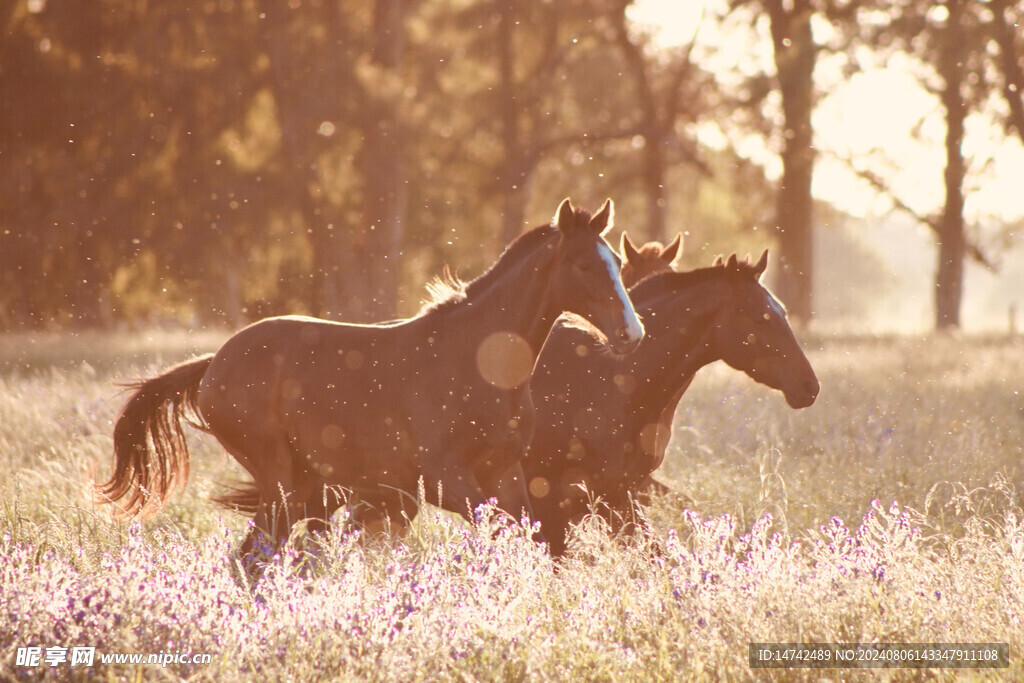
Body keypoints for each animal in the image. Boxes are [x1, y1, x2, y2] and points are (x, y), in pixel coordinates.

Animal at [98, 198, 645, 559]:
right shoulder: (444, 480)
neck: (479, 362)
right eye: (581, 263)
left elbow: (530, 536)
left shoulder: (503, 472)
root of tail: (214, 363)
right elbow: (506, 533)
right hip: (280, 480)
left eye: (616, 262)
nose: (631, 333)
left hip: (306, 485)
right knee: (256, 555)